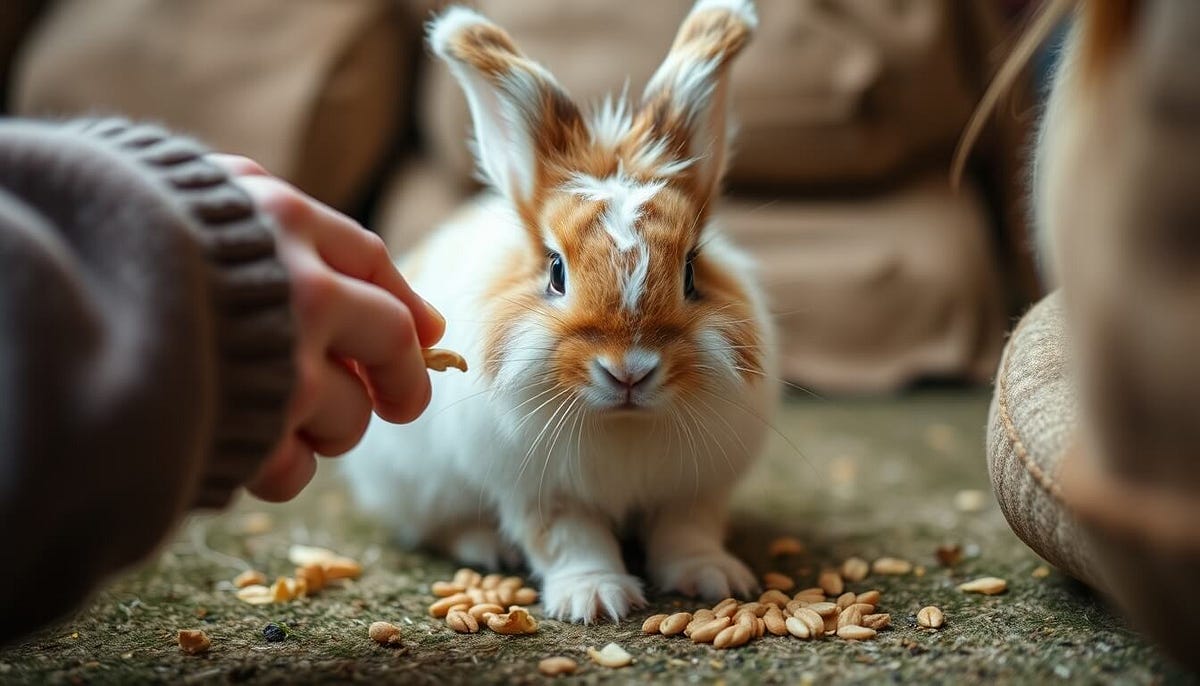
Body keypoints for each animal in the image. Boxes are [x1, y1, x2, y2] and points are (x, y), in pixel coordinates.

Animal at [344, 0, 777, 623]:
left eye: (692, 271)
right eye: (555, 270)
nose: (629, 371)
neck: (622, 424)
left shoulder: (693, 490)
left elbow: (686, 533)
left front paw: (714, 579)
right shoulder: (543, 492)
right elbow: (573, 542)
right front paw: (596, 599)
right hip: (416, 485)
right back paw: (486, 547)